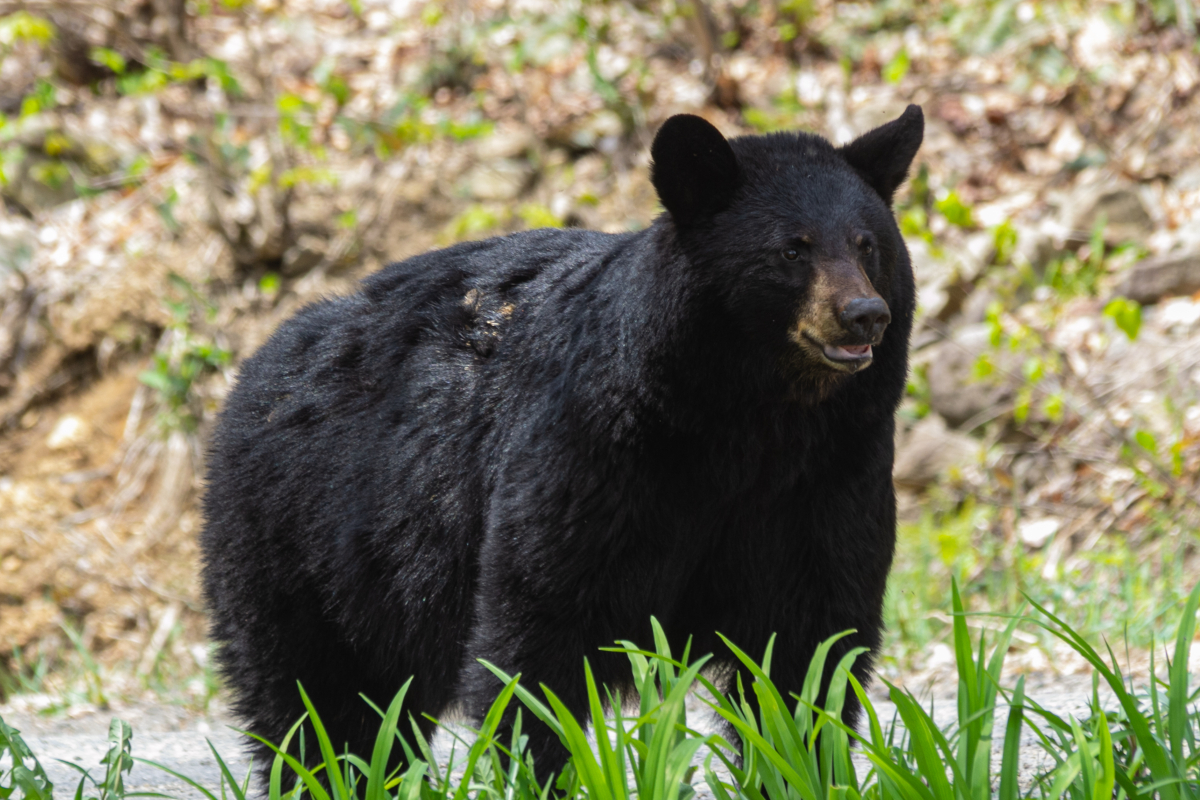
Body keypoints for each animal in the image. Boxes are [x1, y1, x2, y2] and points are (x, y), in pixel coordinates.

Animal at [201, 106, 921, 786]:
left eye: (868, 245)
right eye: (792, 250)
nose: (865, 315)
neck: (755, 422)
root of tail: (261, 361)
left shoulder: (829, 479)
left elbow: (810, 650)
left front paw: (806, 766)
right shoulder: (596, 454)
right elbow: (540, 628)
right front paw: (542, 769)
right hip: (303, 545)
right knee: (316, 705)